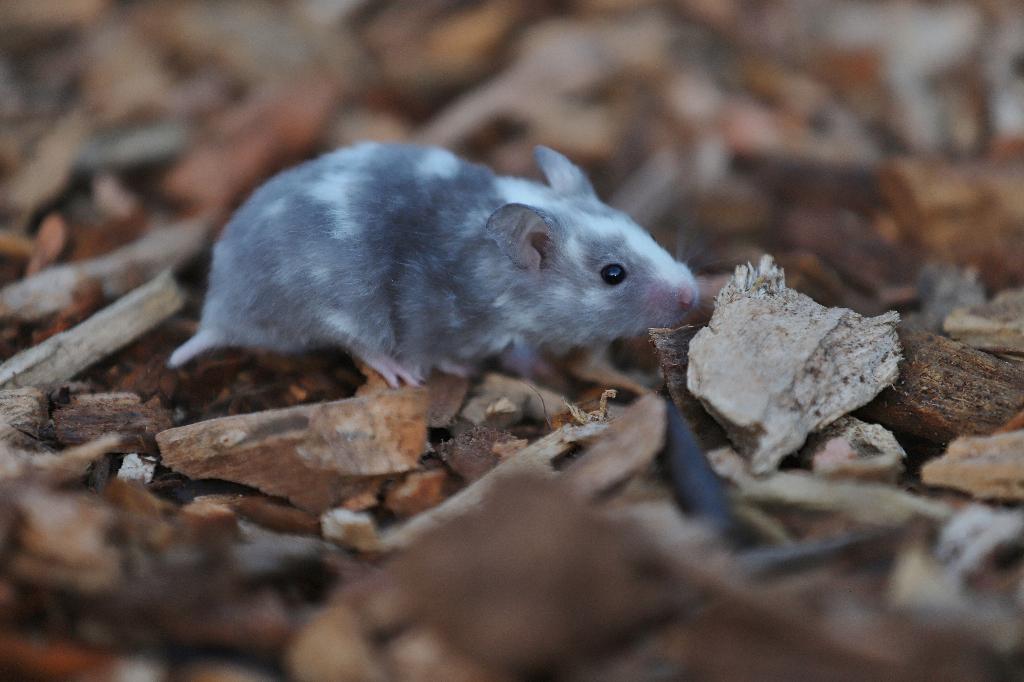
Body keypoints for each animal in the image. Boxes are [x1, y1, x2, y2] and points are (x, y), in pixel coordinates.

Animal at [169, 142, 698, 387]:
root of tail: (217, 312)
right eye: (613, 274)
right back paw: (406, 374)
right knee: (361, 346)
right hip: (339, 309)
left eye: (647, 231)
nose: (694, 295)